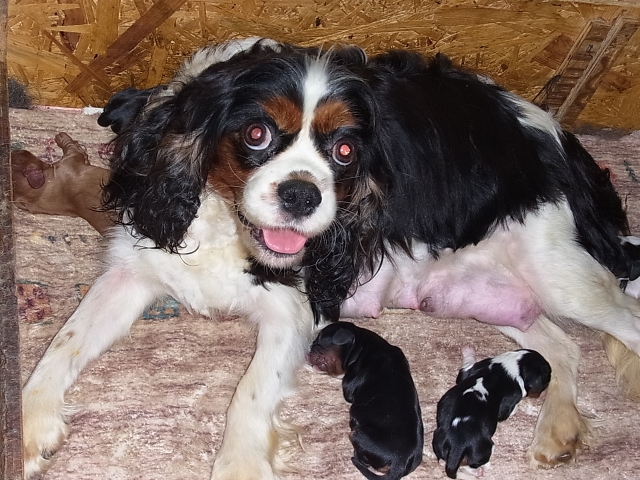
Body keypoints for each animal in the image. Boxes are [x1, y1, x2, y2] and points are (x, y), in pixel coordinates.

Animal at [307, 321, 423, 479]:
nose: (309, 348)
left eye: (319, 341)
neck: (361, 346)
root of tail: (400, 463)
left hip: (357, 434)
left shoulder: (348, 385)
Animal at [433, 346, 551, 479]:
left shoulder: (470, 369)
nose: (546, 391)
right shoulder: (510, 401)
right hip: (486, 449)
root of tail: (457, 445)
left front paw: (468, 351)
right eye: (547, 379)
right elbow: (512, 409)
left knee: (445, 461)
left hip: (438, 440)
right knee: (469, 465)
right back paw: (482, 469)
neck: (515, 364)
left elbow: (467, 365)